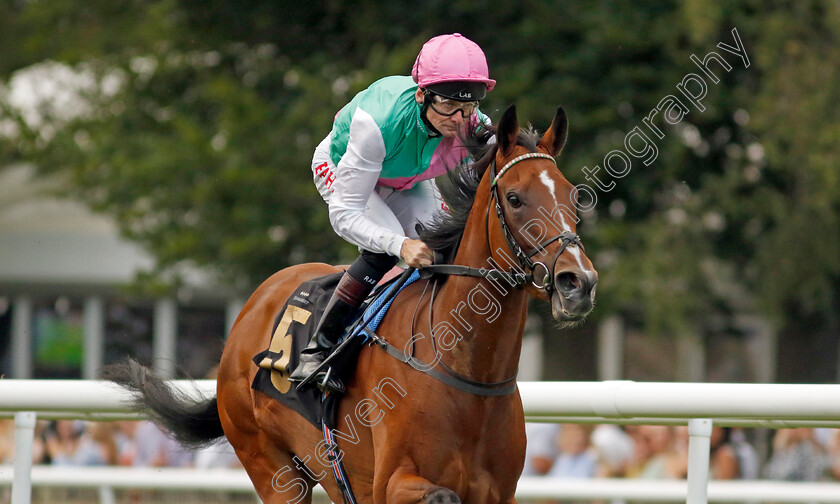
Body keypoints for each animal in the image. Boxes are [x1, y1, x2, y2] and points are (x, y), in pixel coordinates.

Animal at [105, 104, 600, 502]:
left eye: (574, 195)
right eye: (514, 199)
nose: (578, 282)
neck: (465, 370)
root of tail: (250, 309)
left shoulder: (499, 491)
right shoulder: (389, 483)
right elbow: (440, 494)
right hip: (272, 468)